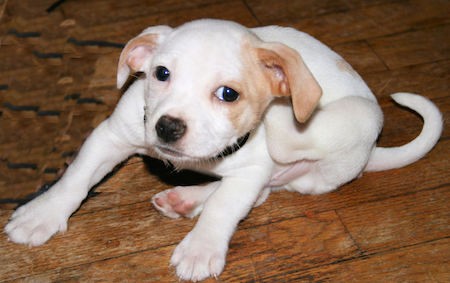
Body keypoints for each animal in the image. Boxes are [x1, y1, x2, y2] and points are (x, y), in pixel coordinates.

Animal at [5, 19, 442, 282]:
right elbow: (76, 177)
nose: (167, 127)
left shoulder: (249, 172)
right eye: (161, 73)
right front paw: (43, 214)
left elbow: (224, 208)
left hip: (337, 133)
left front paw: (201, 247)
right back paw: (185, 198)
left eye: (228, 94)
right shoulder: (110, 136)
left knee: (269, 184)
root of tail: (371, 151)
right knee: (263, 191)